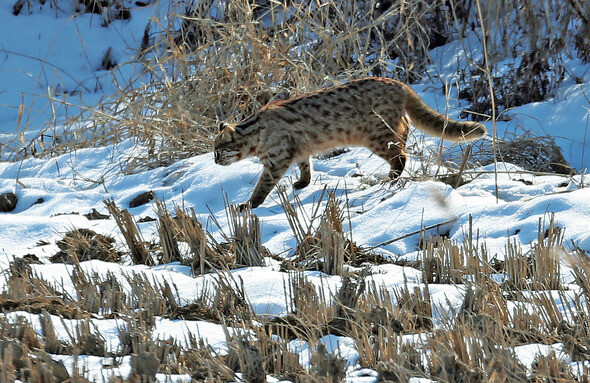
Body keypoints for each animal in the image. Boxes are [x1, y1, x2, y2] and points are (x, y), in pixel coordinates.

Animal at [215, 77, 488, 208]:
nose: (215, 161)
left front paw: (249, 205)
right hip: (390, 130)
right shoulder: (299, 150)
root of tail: (399, 84)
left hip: (377, 137)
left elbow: (262, 187)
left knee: (401, 156)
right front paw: (303, 183)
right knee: (404, 144)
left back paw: (389, 179)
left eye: (219, 151)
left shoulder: (276, 161)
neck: (255, 134)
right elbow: (306, 167)